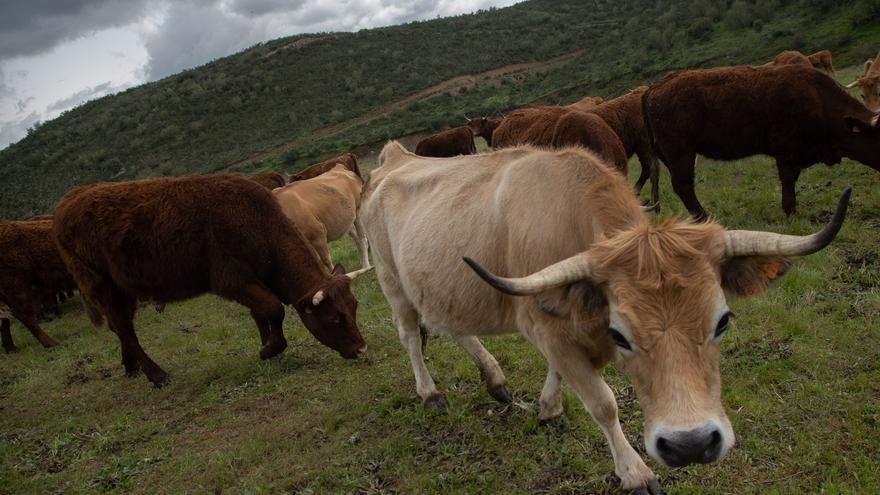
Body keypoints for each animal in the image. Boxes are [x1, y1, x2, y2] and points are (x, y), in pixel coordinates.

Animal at [52, 174, 368, 388]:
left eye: (354, 308)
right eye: (334, 318)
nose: (361, 348)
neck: (253, 220)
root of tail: (67, 201)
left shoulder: (251, 281)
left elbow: (260, 313)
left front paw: (267, 342)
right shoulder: (230, 280)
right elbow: (273, 308)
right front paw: (269, 349)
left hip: (122, 288)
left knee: (121, 326)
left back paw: (131, 366)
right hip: (102, 284)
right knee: (124, 328)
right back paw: (157, 375)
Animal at [360, 141, 848, 494]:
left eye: (723, 321)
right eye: (621, 335)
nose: (690, 444)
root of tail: (395, 158)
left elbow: (560, 374)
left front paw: (549, 407)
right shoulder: (545, 326)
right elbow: (603, 402)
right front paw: (634, 472)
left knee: (451, 328)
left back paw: (494, 379)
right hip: (391, 281)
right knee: (410, 335)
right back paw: (430, 393)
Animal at [640, 65, 880, 220]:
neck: (817, 100)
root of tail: (654, 88)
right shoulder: (786, 152)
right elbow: (788, 181)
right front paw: (791, 213)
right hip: (682, 154)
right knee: (683, 186)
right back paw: (705, 218)